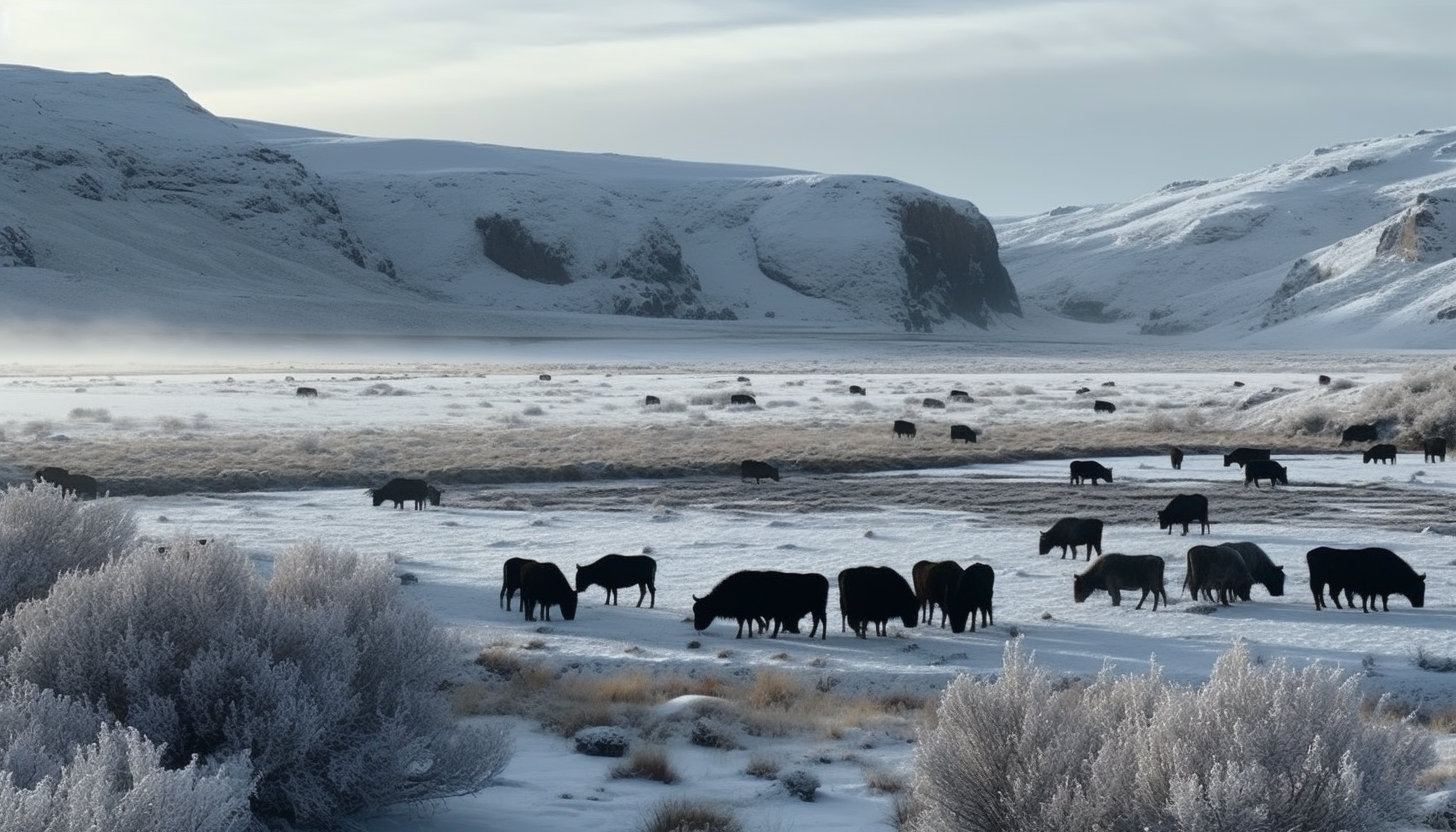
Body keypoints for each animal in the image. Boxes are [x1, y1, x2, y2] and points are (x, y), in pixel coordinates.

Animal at [693, 571, 832, 641]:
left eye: (702, 611)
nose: (696, 627)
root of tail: (823, 579)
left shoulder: (744, 614)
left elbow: (744, 623)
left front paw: (739, 636)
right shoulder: (749, 614)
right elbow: (751, 623)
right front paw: (750, 635)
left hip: (819, 608)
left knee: (822, 620)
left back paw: (822, 637)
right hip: (815, 609)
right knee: (817, 620)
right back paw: (811, 635)